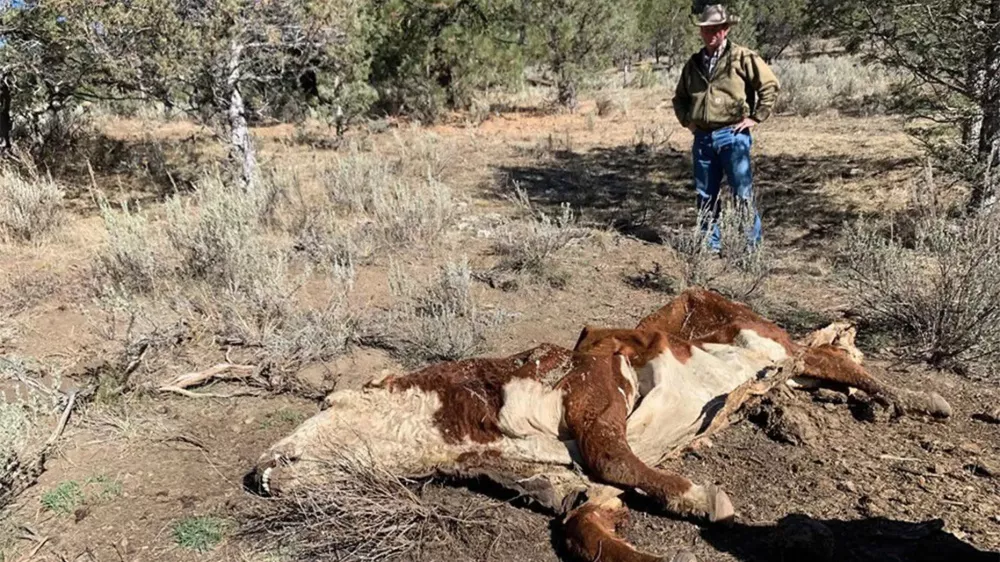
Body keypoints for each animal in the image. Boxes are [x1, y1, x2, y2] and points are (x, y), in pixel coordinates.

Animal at [246, 288, 948, 560]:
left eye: (327, 403)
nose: (256, 472)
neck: (479, 414)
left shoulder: (599, 376)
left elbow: (612, 453)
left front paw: (702, 498)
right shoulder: (574, 489)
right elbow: (586, 522)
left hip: (759, 334)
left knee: (824, 354)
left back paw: (915, 401)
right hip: (777, 364)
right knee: (815, 366)